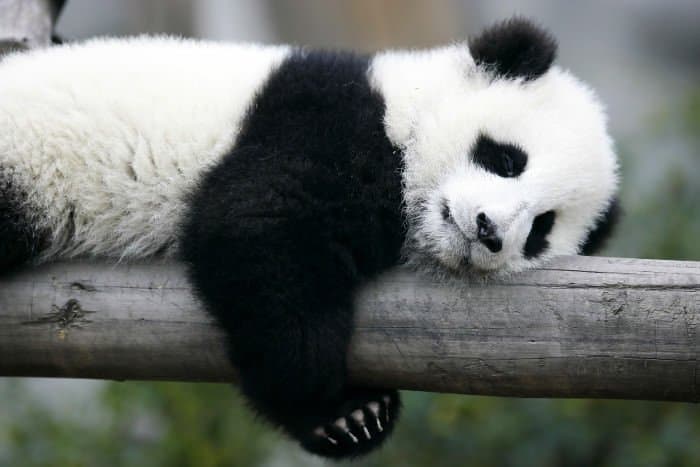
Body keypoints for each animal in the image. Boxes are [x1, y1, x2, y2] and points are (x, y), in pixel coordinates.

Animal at [0, 18, 618, 459]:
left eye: (541, 228)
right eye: (506, 158)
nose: (489, 231)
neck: (404, 114)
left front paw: (353, 421)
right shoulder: (325, 123)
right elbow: (256, 230)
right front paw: (337, 408)